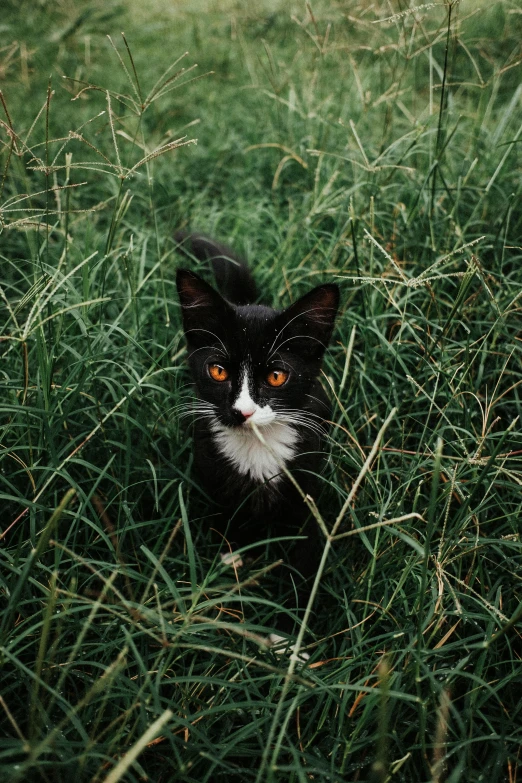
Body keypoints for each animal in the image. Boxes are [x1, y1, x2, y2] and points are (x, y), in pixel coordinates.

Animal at [175, 234, 338, 648]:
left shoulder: (309, 488)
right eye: (217, 371)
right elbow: (229, 524)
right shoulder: (213, 470)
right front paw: (231, 566)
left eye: (277, 376)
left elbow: (303, 564)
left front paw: (289, 639)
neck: (258, 446)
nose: (243, 412)